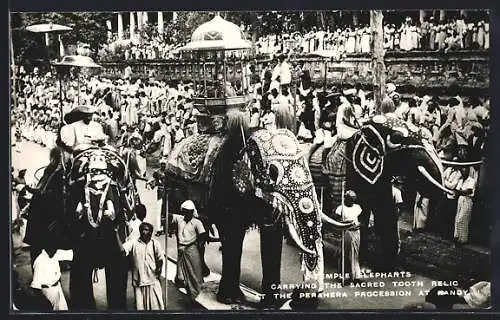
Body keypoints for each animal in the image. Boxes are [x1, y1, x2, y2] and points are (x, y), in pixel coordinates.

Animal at [164, 110, 352, 308]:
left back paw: (204, 275)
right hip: (174, 186)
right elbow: (232, 233)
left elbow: (271, 233)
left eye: (308, 169)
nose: (297, 295)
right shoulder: (224, 186)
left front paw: (270, 304)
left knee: (202, 227)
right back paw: (184, 281)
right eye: (272, 173)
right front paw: (230, 299)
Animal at [306, 114, 452, 272]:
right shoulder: (352, 173)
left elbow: (386, 214)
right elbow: (360, 217)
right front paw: (361, 265)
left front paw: (388, 268)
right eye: (397, 138)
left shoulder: (382, 178)